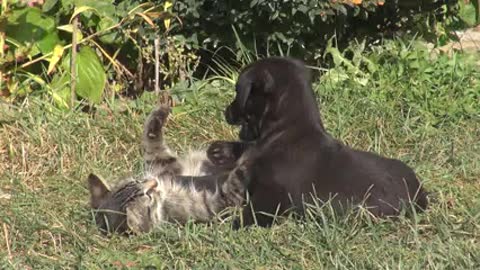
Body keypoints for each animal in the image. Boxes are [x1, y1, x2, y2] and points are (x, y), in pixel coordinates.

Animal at [87, 105, 249, 234]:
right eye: (148, 196)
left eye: (138, 181)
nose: (154, 182)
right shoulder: (209, 205)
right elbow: (230, 190)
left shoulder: (166, 166)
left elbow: (152, 142)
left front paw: (160, 113)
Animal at [212, 57, 430, 228]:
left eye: (238, 91)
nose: (226, 112)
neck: (285, 131)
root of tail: (422, 197)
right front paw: (221, 150)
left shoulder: (272, 197)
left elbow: (250, 215)